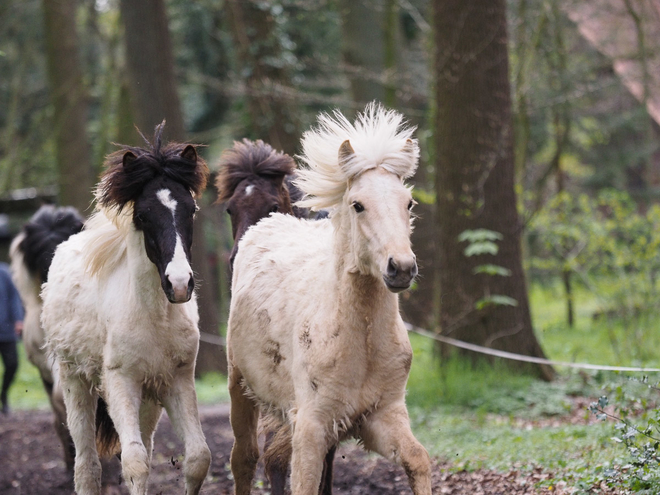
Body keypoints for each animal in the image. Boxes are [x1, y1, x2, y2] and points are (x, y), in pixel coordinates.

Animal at [41, 123, 210, 495]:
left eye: (190, 210)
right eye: (143, 216)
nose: (179, 284)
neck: (153, 319)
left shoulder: (176, 380)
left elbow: (197, 458)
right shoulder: (120, 382)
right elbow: (134, 462)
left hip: (148, 399)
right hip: (77, 383)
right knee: (87, 465)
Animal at [227, 102, 434, 494]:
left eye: (409, 203)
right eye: (358, 205)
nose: (401, 267)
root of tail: (264, 225)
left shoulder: (382, 415)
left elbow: (418, 459)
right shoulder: (310, 425)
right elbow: (303, 480)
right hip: (240, 388)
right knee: (244, 460)